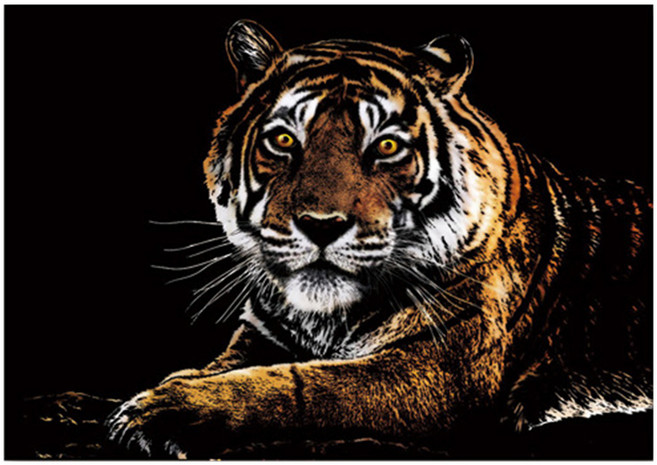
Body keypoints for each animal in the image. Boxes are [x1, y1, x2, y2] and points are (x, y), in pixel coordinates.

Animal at [106, 20, 652, 458]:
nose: (321, 224)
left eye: (386, 146)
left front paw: (161, 411)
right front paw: (172, 385)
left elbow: (302, 385)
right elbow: (225, 365)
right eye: (283, 140)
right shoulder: (262, 334)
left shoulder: (435, 369)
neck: (323, 318)